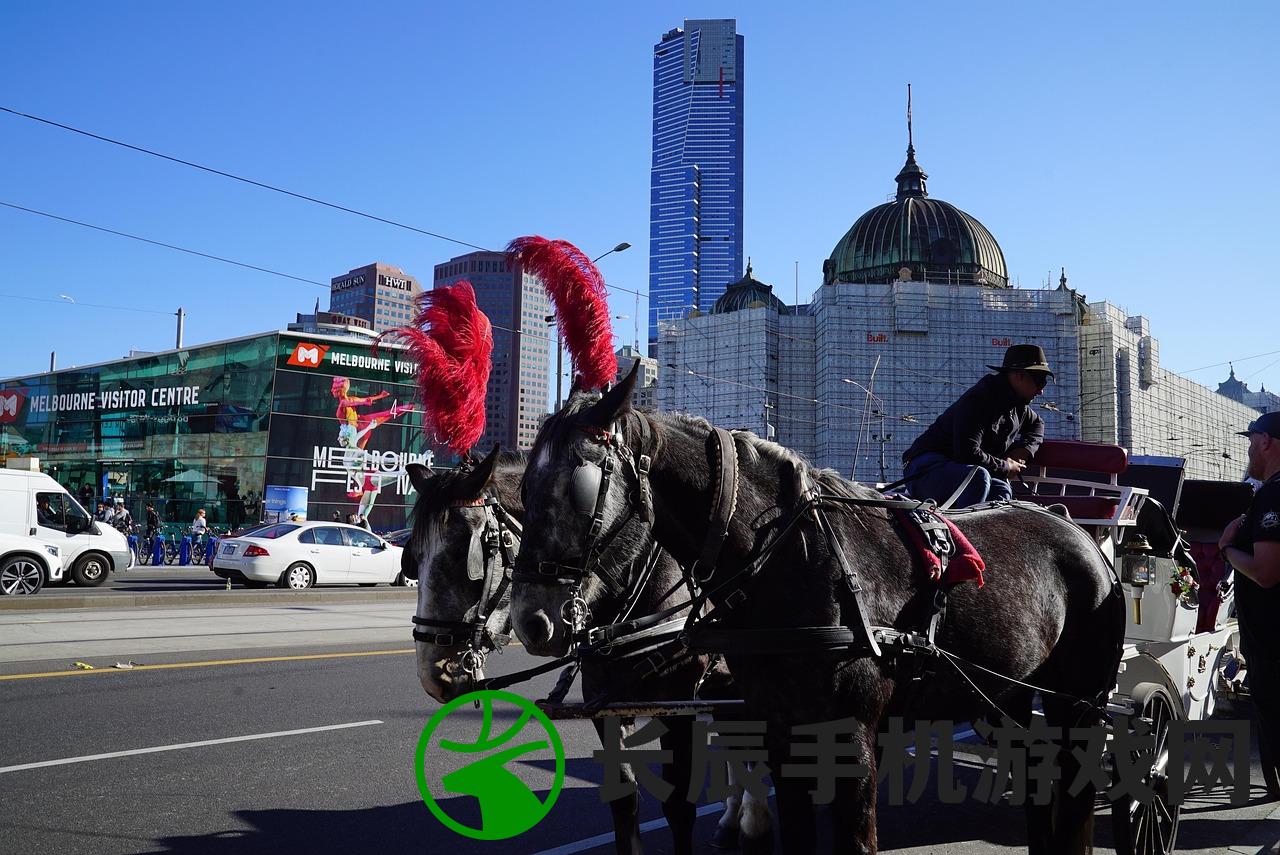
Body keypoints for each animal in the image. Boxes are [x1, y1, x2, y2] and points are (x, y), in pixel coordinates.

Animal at [401, 450, 768, 849]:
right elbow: (624, 801)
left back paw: (752, 821)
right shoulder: (601, 700)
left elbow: (678, 807)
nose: (433, 674)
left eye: (461, 554)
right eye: (413, 559)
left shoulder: (677, 701)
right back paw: (732, 821)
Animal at [504, 366, 1126, 855]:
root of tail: (1074, 526)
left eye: (580, 486)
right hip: (1008, 698)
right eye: (524, 488)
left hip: (1081, 706)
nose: (531, 619)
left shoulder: (846, 737)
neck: (794, 556)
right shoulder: (778, 730)